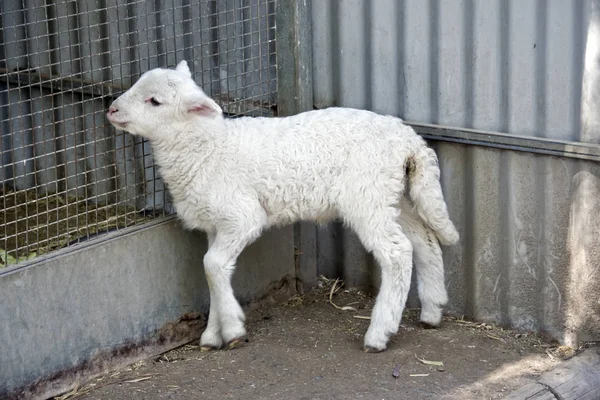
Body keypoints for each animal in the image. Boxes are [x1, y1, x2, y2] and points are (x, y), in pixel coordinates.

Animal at [106, 60, 460, 354]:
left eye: (155, 101)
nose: (111, 110)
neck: (208, 146)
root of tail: (408, 138)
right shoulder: (216, 225)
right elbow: (213, 272)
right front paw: (212, 335)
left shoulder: (243, 216)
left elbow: (212, 265)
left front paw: (232, 328)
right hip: (395, 195)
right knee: (425, 242)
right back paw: (432, 311)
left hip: (367, 195)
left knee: (398, 253)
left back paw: (379, 334)